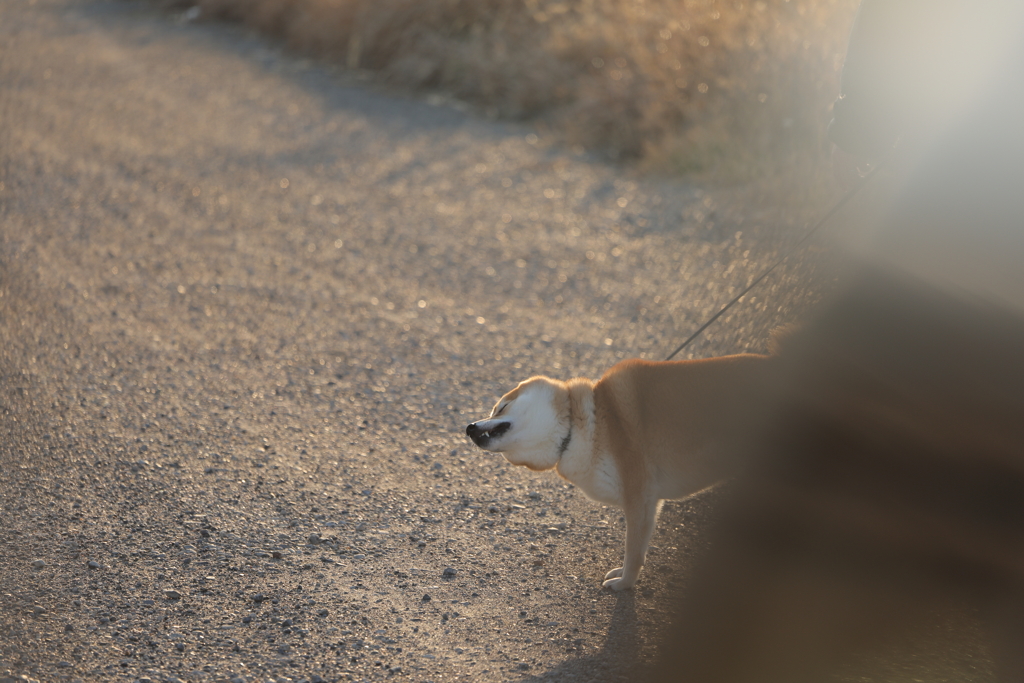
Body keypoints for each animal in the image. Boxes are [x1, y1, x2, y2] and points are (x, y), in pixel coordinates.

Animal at [468, 356, 770, 589]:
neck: (588, 426)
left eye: (500, 407)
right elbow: (639, 548)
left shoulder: (638, 496)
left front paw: (625, 584)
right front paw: (626, 575)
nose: (469, 427)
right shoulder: (650, 503)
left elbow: (632, 550)